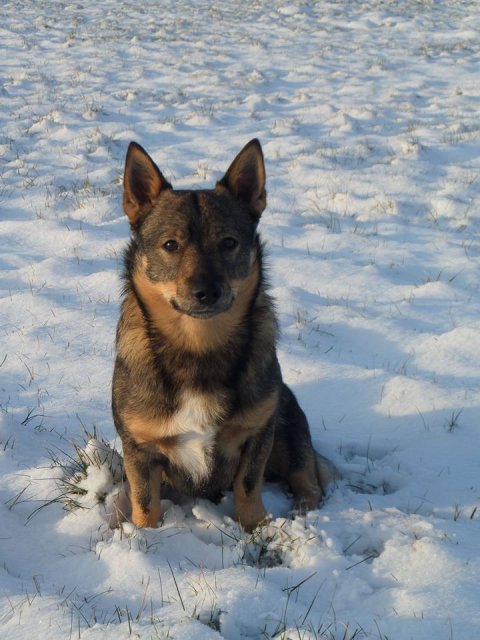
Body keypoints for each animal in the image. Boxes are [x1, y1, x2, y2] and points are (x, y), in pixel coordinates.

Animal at [112, 139, 335, 532]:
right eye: (170, 245)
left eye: (229, 243)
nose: (207, 292)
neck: (199, 347)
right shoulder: (139, 447)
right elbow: (144, 500)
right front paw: (146, 537)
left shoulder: (258, 432)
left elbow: (247, 485)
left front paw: (256, 528)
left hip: (288, 425)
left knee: (307, 479)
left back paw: (302, 513)